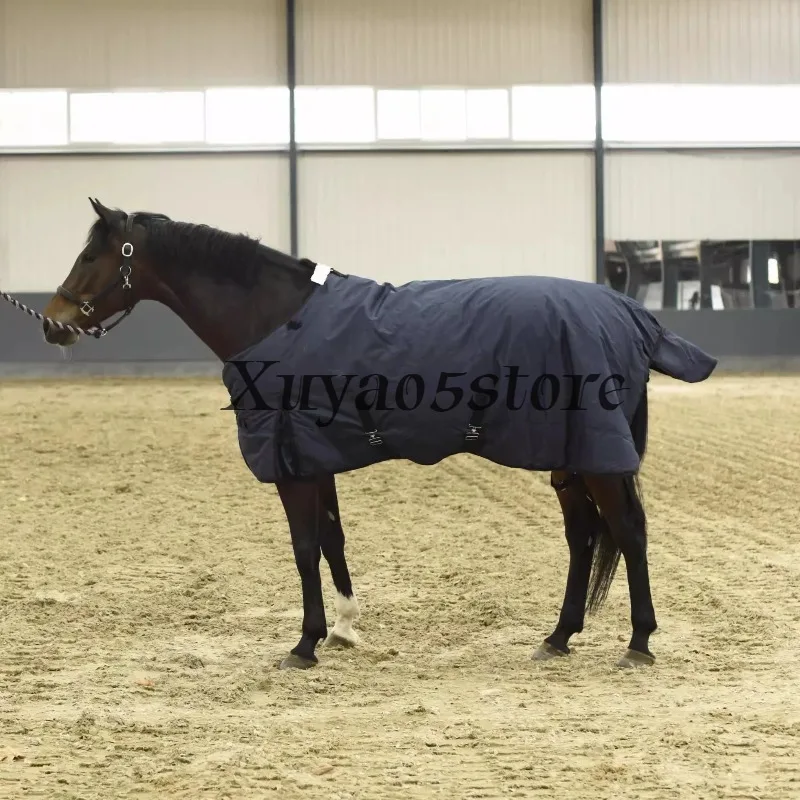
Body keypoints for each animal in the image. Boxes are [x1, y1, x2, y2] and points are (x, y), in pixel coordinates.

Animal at [40, 197, 717, 672]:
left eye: (94, 257)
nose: (52, 323)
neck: (277, 320)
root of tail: (629, 312)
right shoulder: (313, 457)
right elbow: (331, 542)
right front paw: (343, 628)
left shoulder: (292, 463)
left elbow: (304, 548)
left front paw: (305, 643)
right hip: (569, 456)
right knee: (583, 538)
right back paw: (557, 638)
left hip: (599, 458)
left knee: (628, 531)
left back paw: (638, 642)